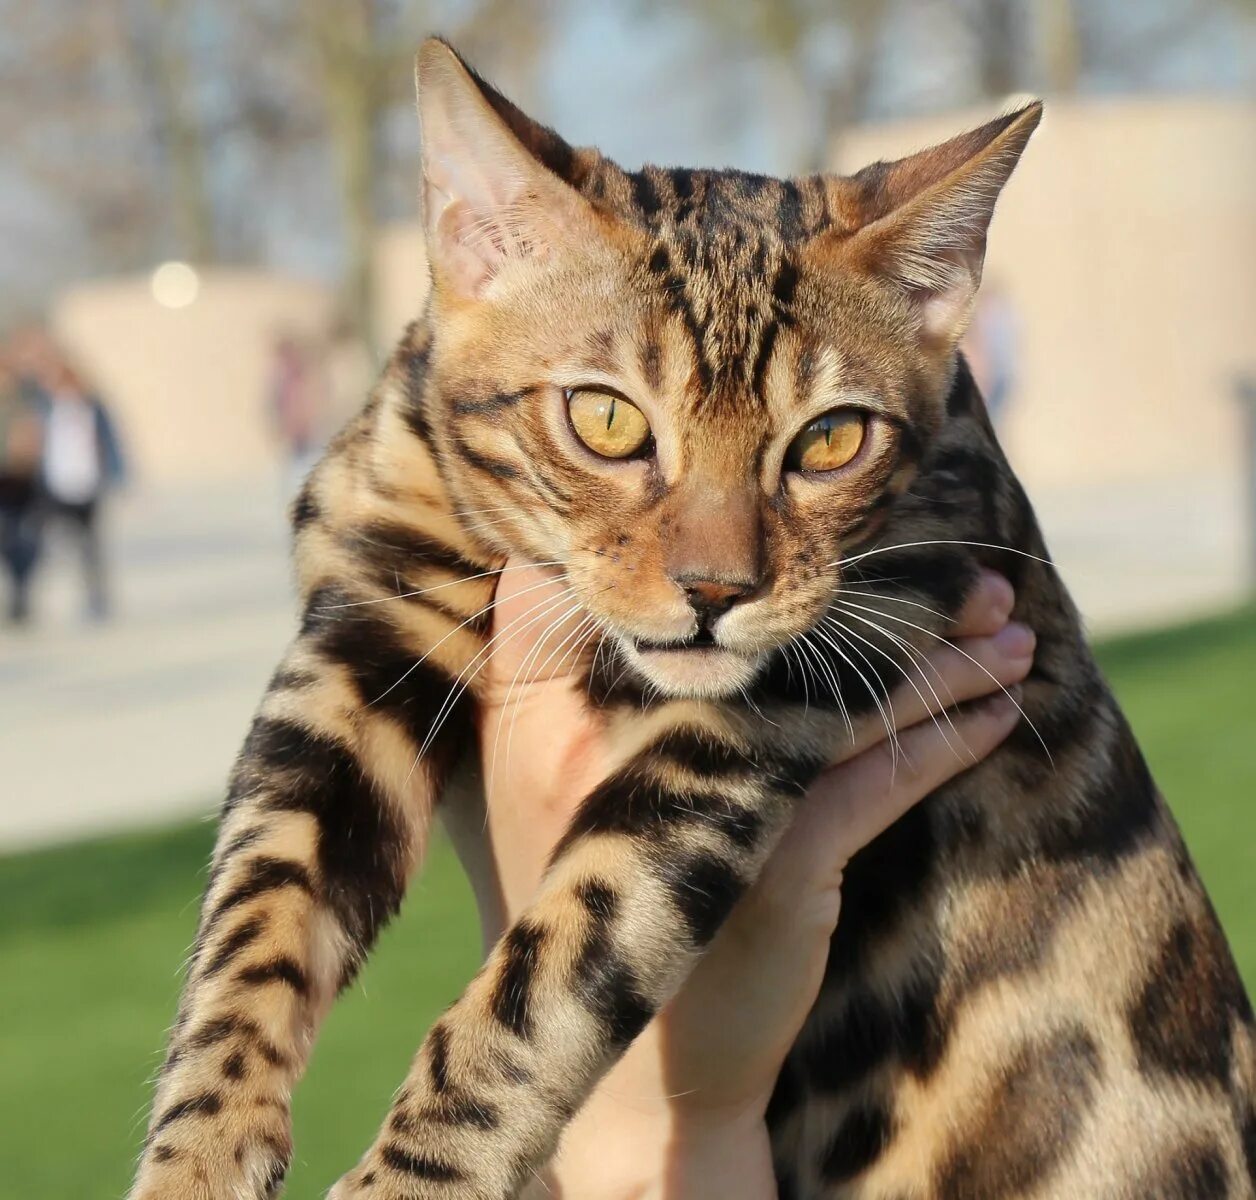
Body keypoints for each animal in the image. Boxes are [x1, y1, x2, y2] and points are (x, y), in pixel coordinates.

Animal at [129, 37, 1256, 1200]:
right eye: (605, 418)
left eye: (830, 440)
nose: (718, 592)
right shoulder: (363, 623)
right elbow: (257, 906)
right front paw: (196, 1154)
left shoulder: (768, 713)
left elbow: (546, 978)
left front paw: (413, 1178)